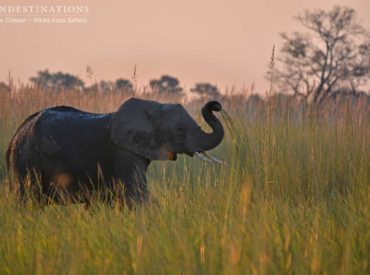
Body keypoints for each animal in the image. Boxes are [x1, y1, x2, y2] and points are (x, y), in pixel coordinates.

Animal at [5, 98, 224, 206]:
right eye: (179, 131)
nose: (216, 105)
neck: (152, 107)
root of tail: (14, 136)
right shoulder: (123, 152)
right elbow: (137, 194)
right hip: (26, 162)